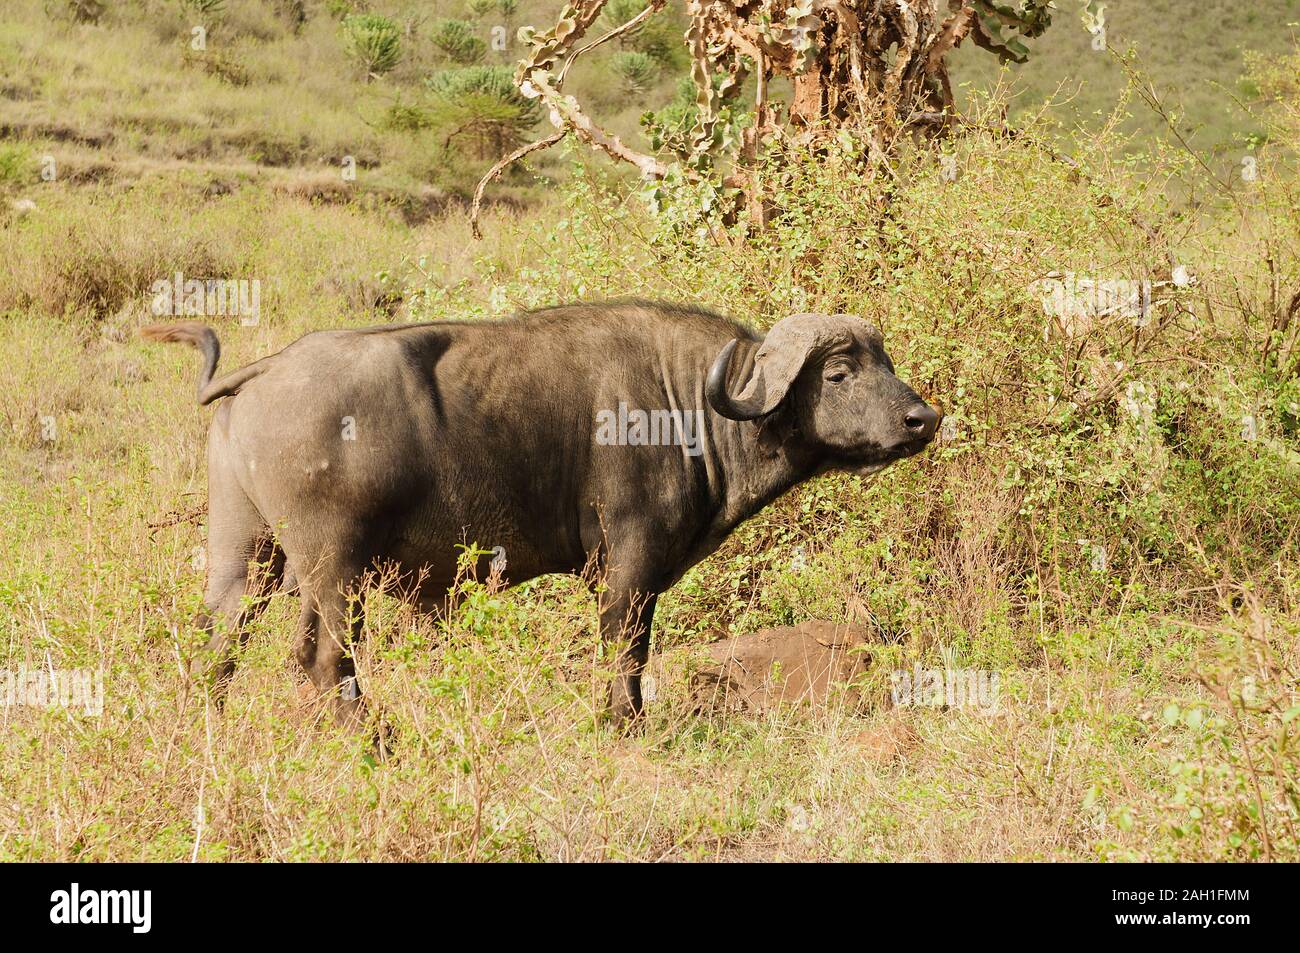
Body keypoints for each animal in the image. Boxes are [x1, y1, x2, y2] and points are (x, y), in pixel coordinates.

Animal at [142, 301, 935, 733]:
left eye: (889, 361)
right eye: (839, 373)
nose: (923, 419)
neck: (688, 403)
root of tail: (267, 370)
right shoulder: (628, 564)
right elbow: (626, 650)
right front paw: (624, 724)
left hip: (249, 560)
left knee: (220, 646)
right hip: (335, 567)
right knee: (323, 658)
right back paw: (378, 738)